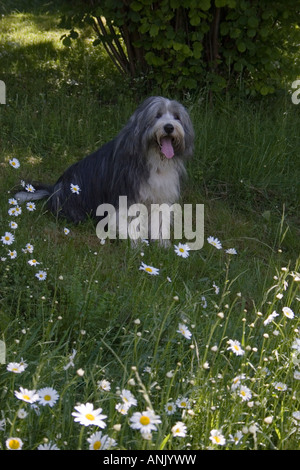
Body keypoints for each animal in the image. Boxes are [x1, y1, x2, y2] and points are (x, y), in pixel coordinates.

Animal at [15, 95, 195, 242]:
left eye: (177, 117)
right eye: (157, 115)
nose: (169, 127)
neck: (154, 159)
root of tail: (53, 189)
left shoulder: (160, 197)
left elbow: (159, 223)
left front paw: (161, 246)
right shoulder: (126, 196)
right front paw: (135, 246)